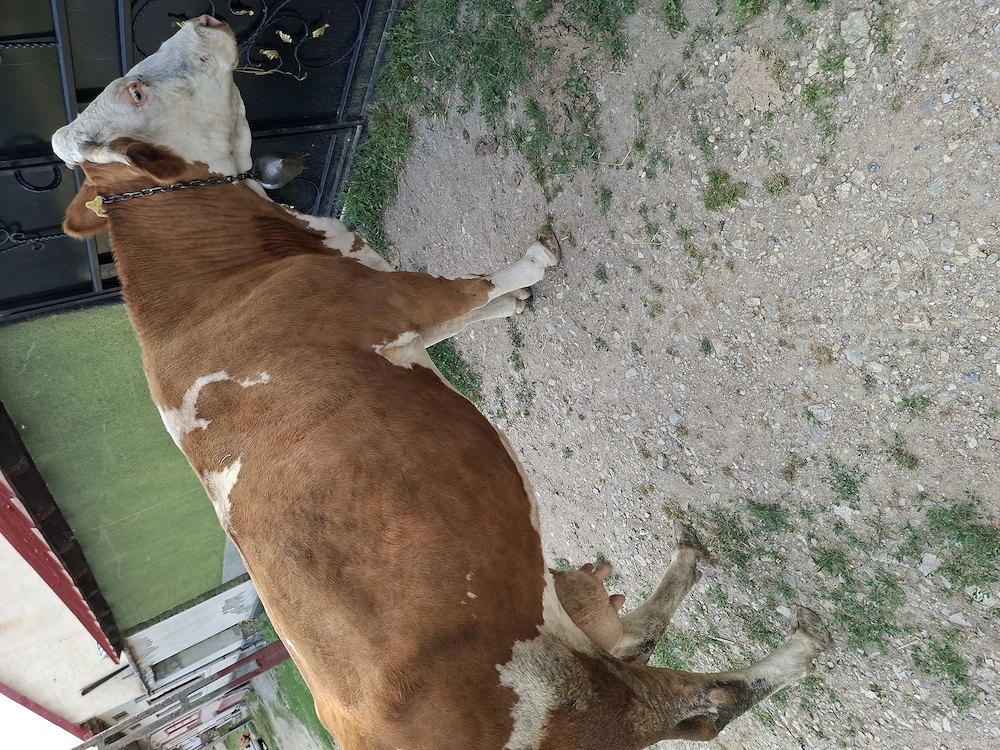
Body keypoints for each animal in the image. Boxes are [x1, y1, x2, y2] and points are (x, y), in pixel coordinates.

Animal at [52, 16, 830, 750]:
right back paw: (792, 646)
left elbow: (470, 312)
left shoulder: (392, 307)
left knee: (628, 638)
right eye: (138, 90)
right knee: (703, 702)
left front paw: (515, 302)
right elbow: (467, 287)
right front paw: (533, 265)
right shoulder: (391, 300)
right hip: (577, 695)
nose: (205, 19)